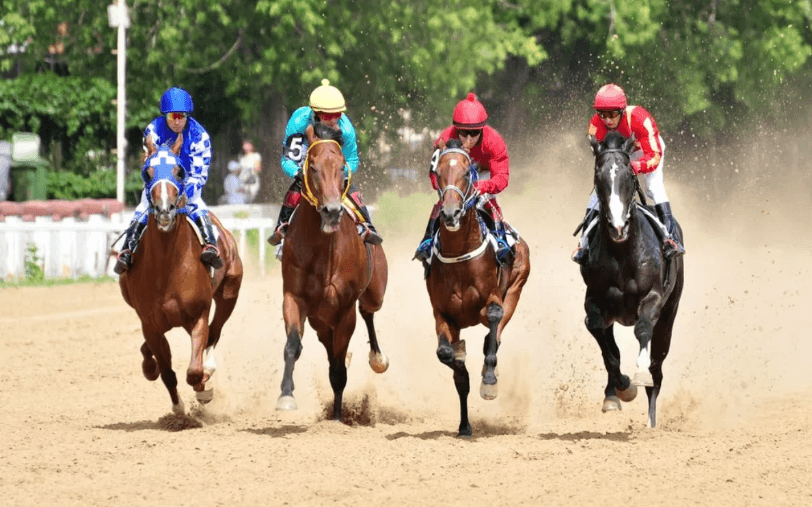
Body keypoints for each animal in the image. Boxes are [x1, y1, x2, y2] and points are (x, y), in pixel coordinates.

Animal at [118, 134, 243, 415]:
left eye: (179, 170)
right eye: (147, 172)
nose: (165, 209)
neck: (168, 266)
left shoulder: (198, 315)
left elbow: (194, 370)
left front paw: (204, 388)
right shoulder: (150, 323)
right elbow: (167, 372)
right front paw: (177, 407)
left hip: (229, 293)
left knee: (215, 331)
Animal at [276, 123, 389, 421]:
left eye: (341, 167)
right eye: (313, 166)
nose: (332, 210)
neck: (323, 248)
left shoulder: (344, 308)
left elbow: (339, 369)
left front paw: (337, 417)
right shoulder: (294, 297)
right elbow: (292, 345)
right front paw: (286, 395)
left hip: (374, 292)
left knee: (368, 312)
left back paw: (378, 359)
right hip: (320, 320)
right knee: (329, 347)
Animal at [425, 139, 530, 437]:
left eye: (466, 172)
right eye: (437, 172)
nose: (450, 213)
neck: (459, 255)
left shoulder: (493, 299)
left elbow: (493, 320)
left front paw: (489, 380)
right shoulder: (443, 314)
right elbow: (446, 355)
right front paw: (460, 363)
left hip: (516, 289)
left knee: (496, 333)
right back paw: (464, 425)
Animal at [581, 130, 684, 428]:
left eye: (628, 174)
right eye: (598, 175)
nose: (618, 226)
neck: (623, 251)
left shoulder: (654, 298)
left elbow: (643, 330)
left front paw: (638, 375)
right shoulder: (595, 299)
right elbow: (604, 343)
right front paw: (621, 389)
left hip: (670, 313)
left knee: (658, 367)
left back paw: (651, 420)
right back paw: (612, 393)